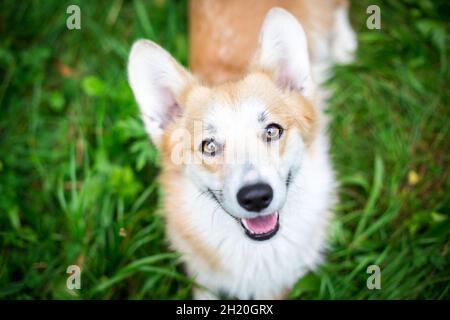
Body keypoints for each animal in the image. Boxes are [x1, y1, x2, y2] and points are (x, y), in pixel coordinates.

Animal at [126, 0, 356, 300]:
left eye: (272, 131)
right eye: (209, 146)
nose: (256, 197)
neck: (256, 251)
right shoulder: (202, 279)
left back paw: (343, 43)